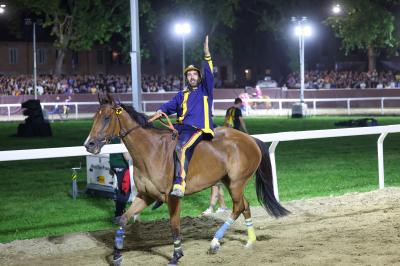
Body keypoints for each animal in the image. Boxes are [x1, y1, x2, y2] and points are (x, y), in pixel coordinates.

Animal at [84, 94, 288, 264]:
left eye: (107, 117)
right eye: (95, 117)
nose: (89, 144)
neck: (151, 151)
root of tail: (251, 139)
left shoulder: (173, 197)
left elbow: (174, 226)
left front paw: (176, 254)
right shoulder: (144, 196)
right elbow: (123, 220)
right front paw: (117, 254)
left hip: (237, 182)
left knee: (238, 207)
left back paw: (215, 241)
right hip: (230, 182)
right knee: (245, 205)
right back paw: (250, 240)